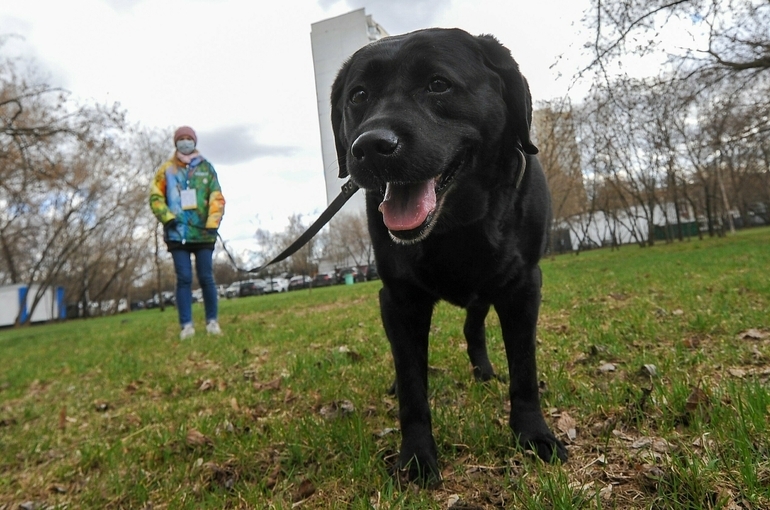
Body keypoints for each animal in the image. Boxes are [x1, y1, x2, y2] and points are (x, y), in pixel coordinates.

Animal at [328, 27, 564, 482]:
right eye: (359, 95)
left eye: (438, 84)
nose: (371, 146)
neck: (455, 227)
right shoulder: (398, 299)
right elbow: (412, 388)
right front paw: (417, 457)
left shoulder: (524, 286)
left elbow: (524, 370)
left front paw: (533, 435)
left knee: (473, 327)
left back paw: (484, 371)